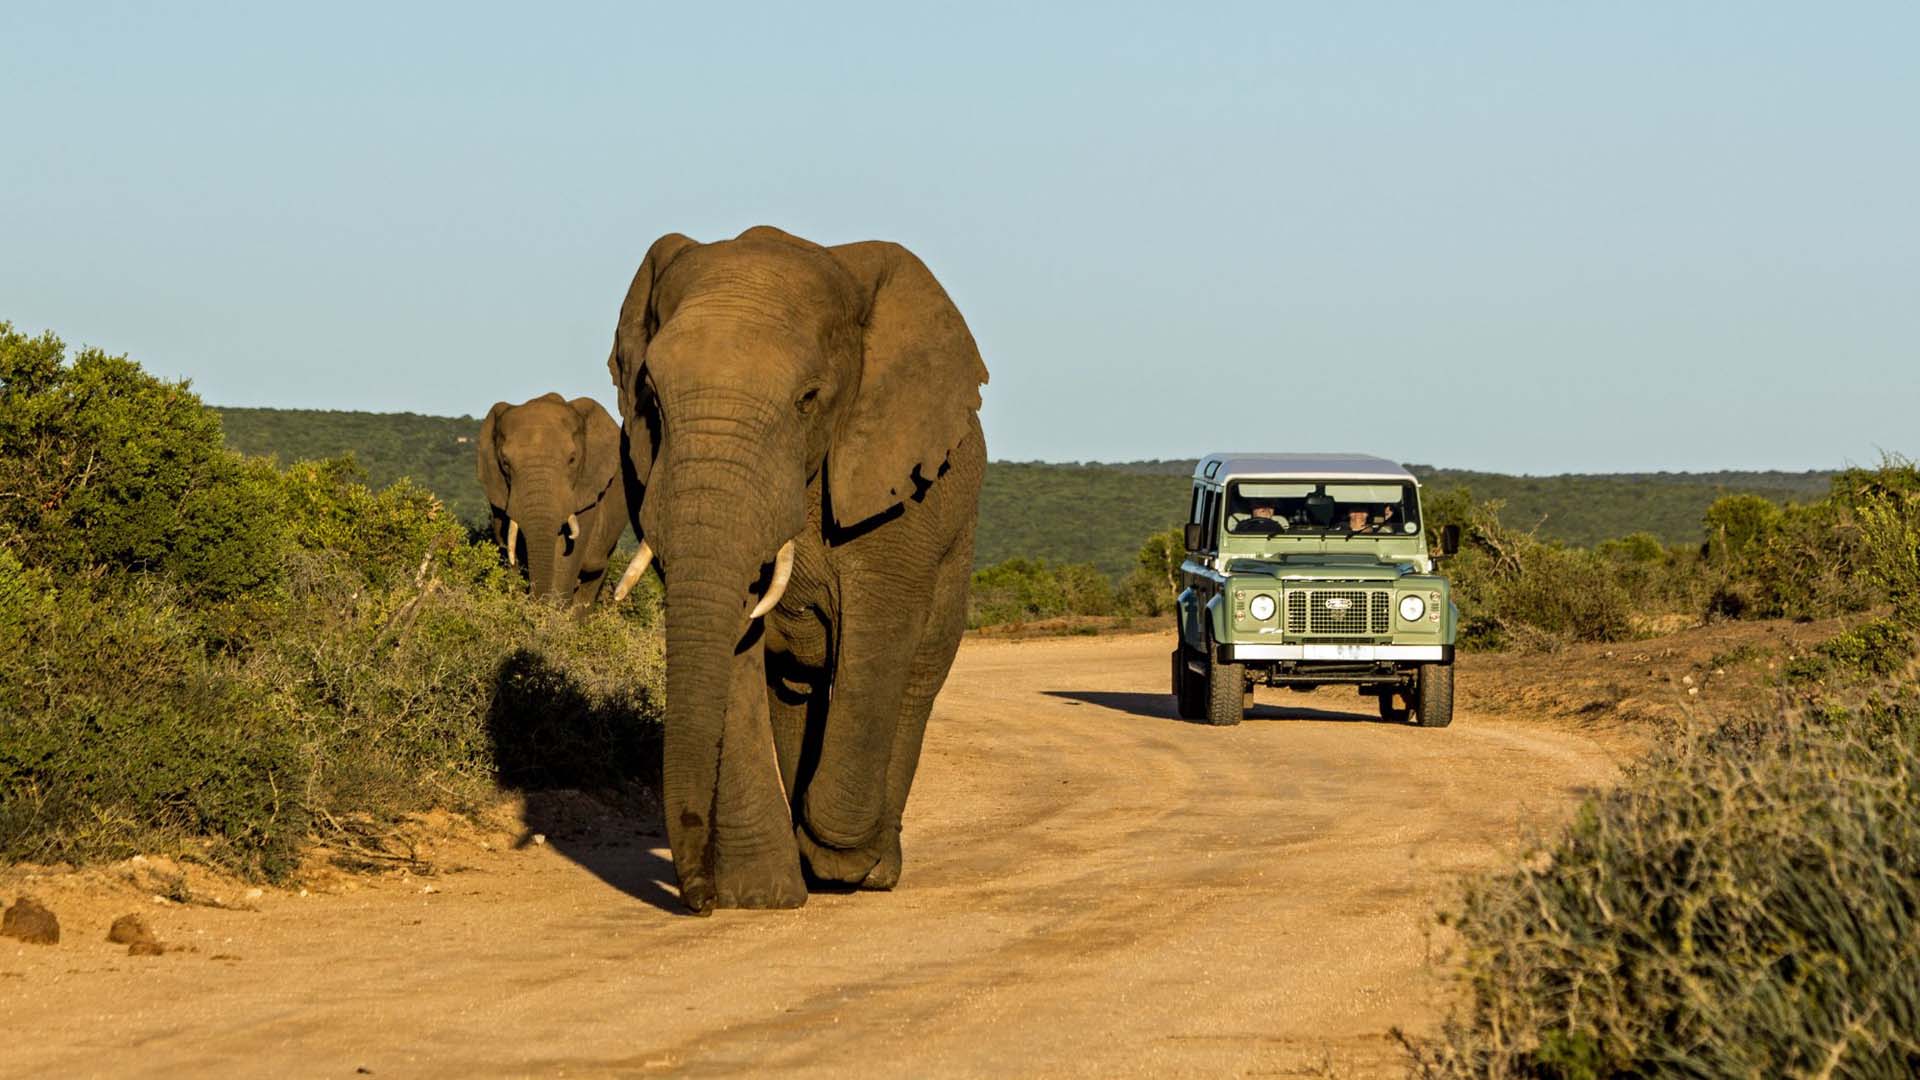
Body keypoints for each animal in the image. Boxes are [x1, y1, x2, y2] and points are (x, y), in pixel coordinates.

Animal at [602, 224, 990, 907]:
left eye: (808, 399)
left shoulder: (896, 490)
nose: (697, 896)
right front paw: (759, 895)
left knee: (915, 677)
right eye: (650, 398)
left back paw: (869, 871)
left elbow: (878, 637)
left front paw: (838, 858)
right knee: (795, 689)